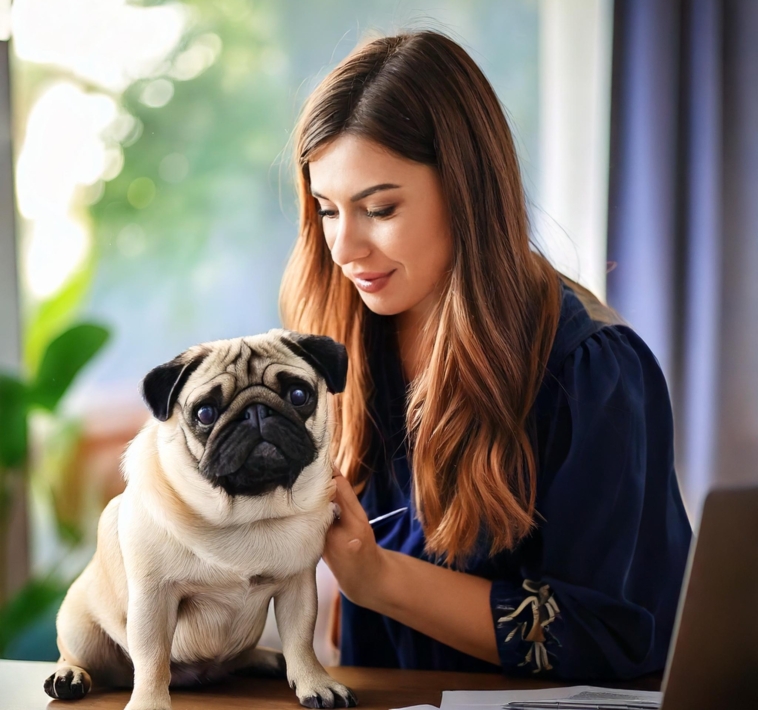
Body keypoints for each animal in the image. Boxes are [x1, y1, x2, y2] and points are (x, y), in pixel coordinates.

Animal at [43, 330, 358, 708]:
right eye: (205, 412)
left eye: (299, 395)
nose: (256, 411)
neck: (248, 513)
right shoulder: (153, 597)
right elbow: (151, 657)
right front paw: (149, 701)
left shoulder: (297, 585)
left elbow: (301, 640)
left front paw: (315, 682)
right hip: (79, 628)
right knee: (77, 655)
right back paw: (68, 676)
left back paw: (265, 658)